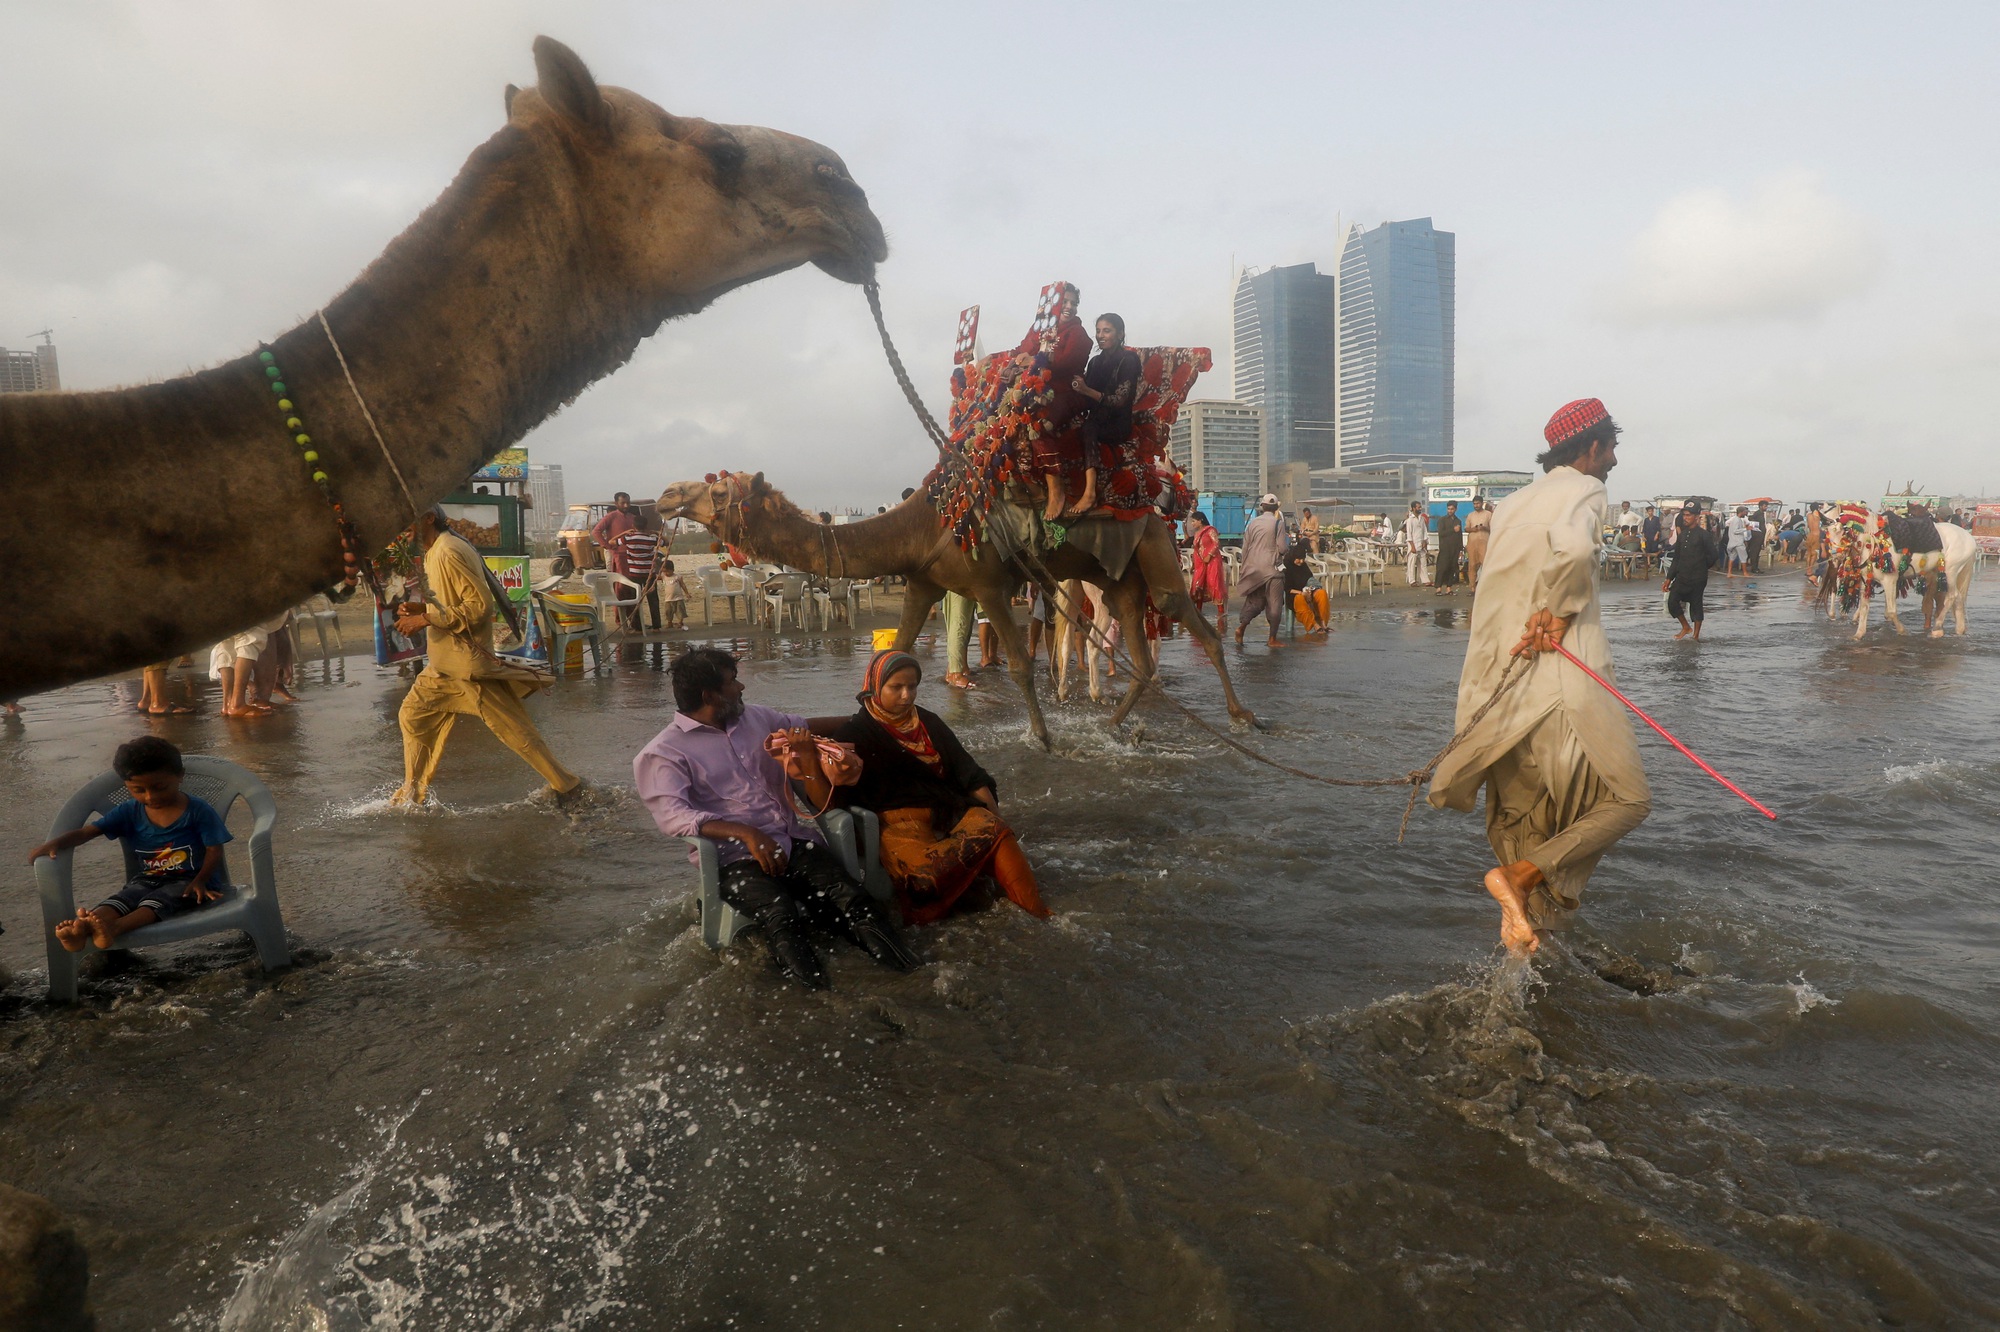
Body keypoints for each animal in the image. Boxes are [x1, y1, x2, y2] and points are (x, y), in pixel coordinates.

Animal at [656, 466, 1248, 740]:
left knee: (1189, 618)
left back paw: (1243, 715)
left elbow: (1019, 665)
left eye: (719, 491)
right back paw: (1110, 725)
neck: (918, 526)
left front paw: (1043, 738)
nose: (664, 496)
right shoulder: (922, 583)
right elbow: (891, 651)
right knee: (1140, 653)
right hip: (1118, 576)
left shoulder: (987, 585)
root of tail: (1160, 503)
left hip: (1153, 545)